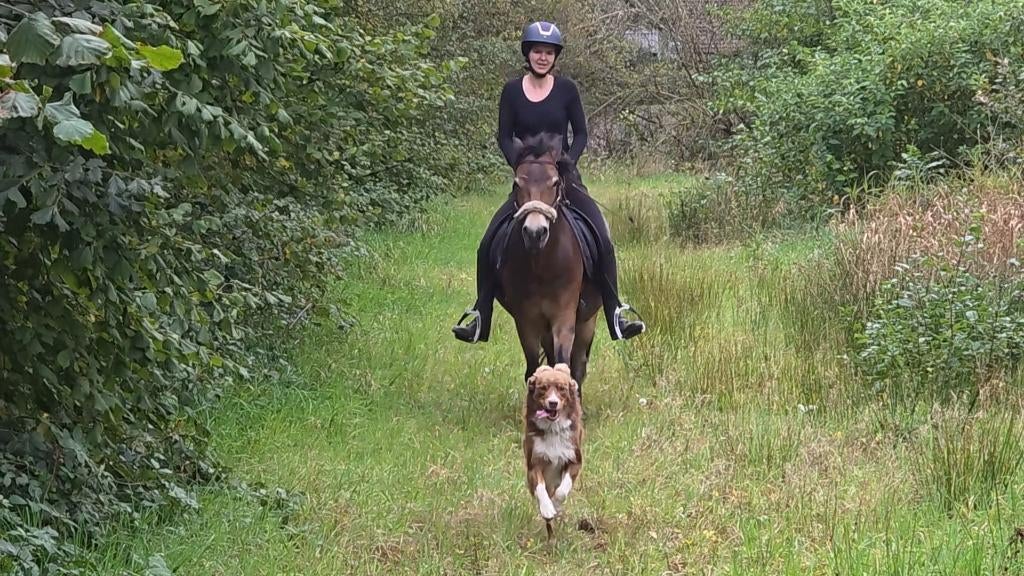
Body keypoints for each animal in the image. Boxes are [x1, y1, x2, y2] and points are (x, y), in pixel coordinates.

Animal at [496, 133, 603, 399]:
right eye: (517, 184)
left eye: (554, 183)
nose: (535, 233)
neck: (541, 264)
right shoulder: (526, 321)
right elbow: (534, 368)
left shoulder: (564, 316)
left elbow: (565, 366)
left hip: (587, 322)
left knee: (578, 365)